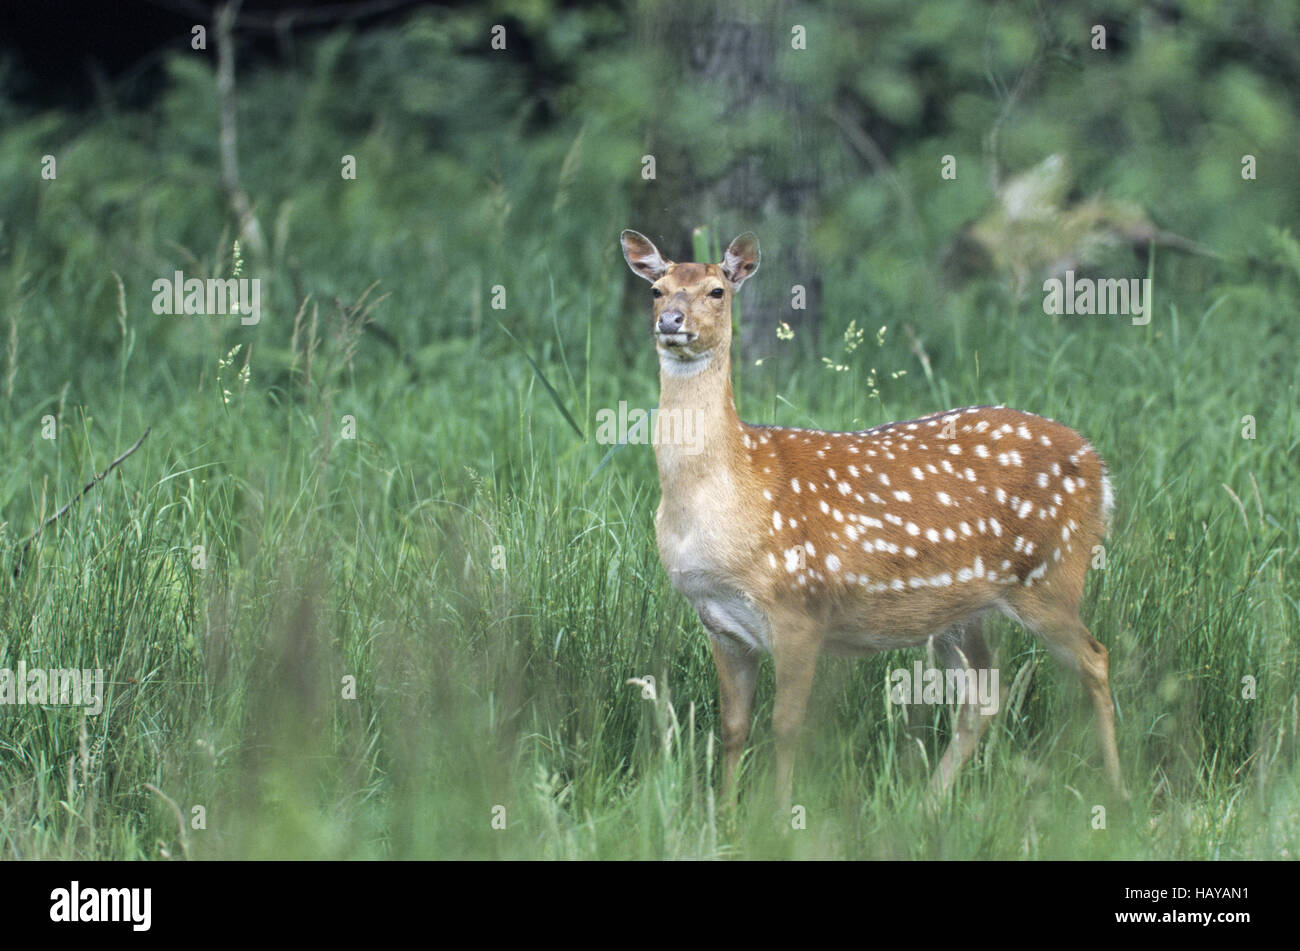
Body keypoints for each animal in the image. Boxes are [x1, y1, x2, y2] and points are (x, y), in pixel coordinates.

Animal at [618, 228, 1128, 800]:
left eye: (716, 291)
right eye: (656, 290)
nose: (670, 321)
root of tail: (1098, 466)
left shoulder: (799, 608)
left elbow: (785, 726)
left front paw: (774, 812)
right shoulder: (720, 623)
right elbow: (732, 728)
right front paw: (724, 812)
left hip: (1051, 576)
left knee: (1096, 658)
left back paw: (1118, 791)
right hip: (962, 612)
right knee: (982, 693)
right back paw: (928, 801)